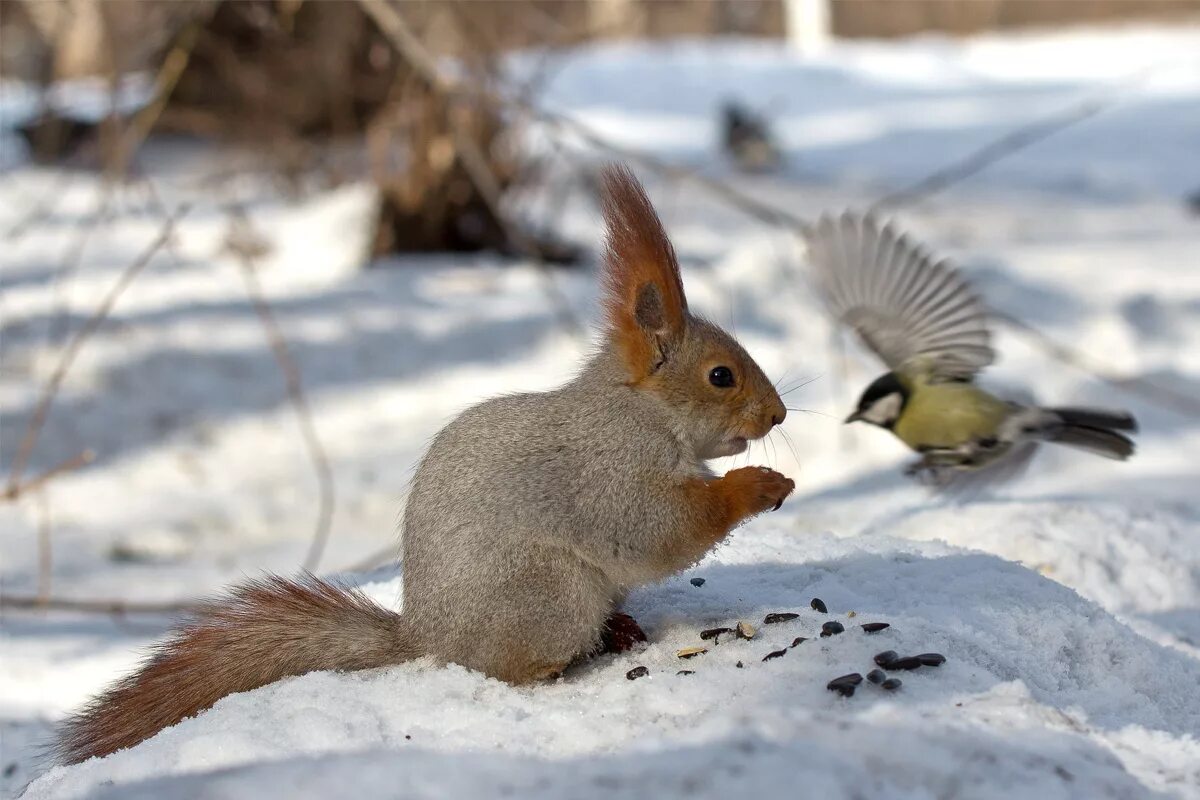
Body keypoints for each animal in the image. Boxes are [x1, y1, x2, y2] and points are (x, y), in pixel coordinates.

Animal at [54, 165, 796, 767]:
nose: (780, 415)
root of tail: (427, 638)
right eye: (722, 376)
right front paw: (759, 486)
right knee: (509, 665)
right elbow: (655, 531)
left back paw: (619, 629)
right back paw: (557, 668)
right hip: (548, 593)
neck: (642, 409)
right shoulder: (609, 472)